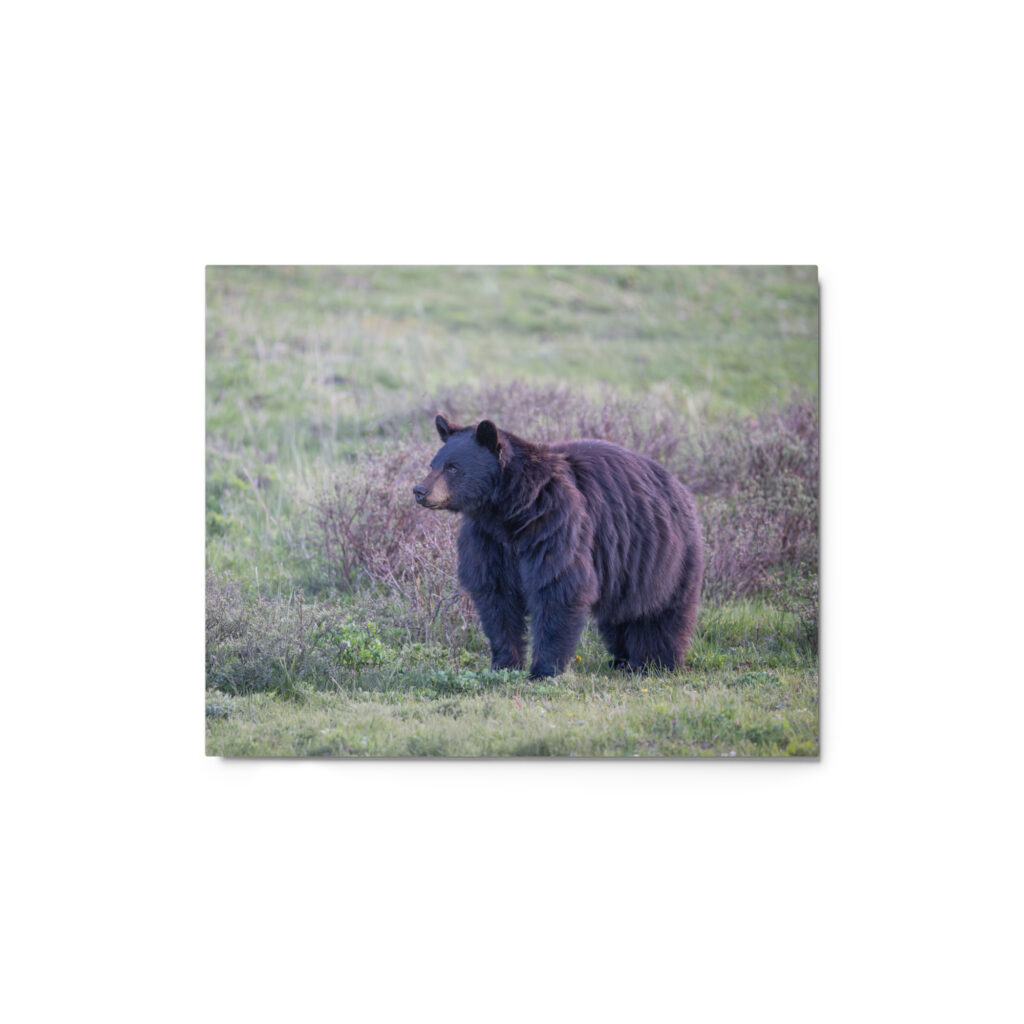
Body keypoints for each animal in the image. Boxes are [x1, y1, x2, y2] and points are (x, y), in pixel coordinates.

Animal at [414, 415, 703, 680]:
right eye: (433, 464)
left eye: (452, 467)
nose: (419, 490)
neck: (510, 511)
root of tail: (680, 487)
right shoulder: (488, 540)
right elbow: (496, 596)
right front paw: (504, 664)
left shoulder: (554, 522)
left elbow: (558, 587)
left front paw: (544, 670)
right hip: (626, 565)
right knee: (620, 614)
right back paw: (621, 660)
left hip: (664, 555)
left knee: (661, 612)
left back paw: (654, 662)